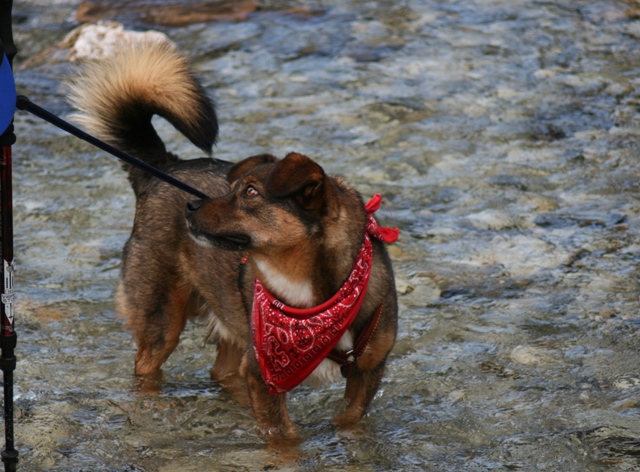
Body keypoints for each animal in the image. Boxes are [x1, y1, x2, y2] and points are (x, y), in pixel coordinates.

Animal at [67, 37, 398, 438]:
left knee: (222, 372)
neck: (310, 292)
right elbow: (284, 439)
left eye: (250, 193)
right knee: (145, 369)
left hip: (228, 314)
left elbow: (348, 422)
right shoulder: (264, 374)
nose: (192, 205)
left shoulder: (367, 373)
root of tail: (164, 166)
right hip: (160, 316)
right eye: (234, 188)